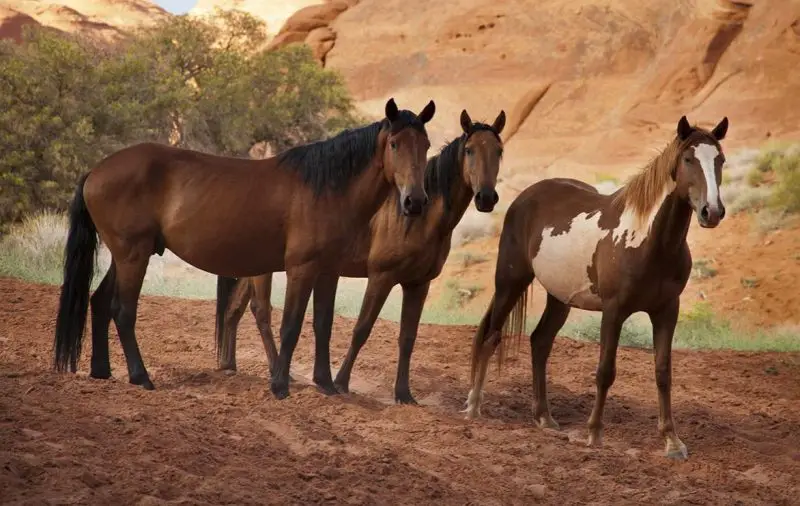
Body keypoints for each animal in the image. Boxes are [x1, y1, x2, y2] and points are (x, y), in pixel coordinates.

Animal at [53, 97, 437, 401]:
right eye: (395, 144)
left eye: (426, 144)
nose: (415, 201)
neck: (326, 187)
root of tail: (96, 171)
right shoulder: (302, 268)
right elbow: (291, 326)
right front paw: (280, 386)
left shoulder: (329, 270)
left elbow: (323, 325)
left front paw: (326, 385)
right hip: (133, 255)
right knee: (123, 311)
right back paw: (141, 377)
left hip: (125, 255)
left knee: (100, 302)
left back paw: (102, 371)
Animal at [215, 109, 506, 404]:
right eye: (469, 150)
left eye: (499, 151)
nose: (486, 197)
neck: (417, 219)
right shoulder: (381, 277)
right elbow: (361, 329)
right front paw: (341, 382)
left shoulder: (418, 284)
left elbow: (408, 338)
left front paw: (404, 394)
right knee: (261, 311)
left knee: (234, 308)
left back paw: (229, 365)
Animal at [464, 115, 729, 460]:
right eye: (688, 159)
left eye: (720, 160)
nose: (712, 211)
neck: (649, 240)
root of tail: (525, 197)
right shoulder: (614, 311)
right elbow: (605, 371)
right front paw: (594, 434)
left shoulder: (667, 311)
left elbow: (663, 373)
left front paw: (672, 441)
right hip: (510, 283)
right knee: (490, 337)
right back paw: (473, 407)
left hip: (559, 297)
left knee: (540, 342)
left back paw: (544, 417)